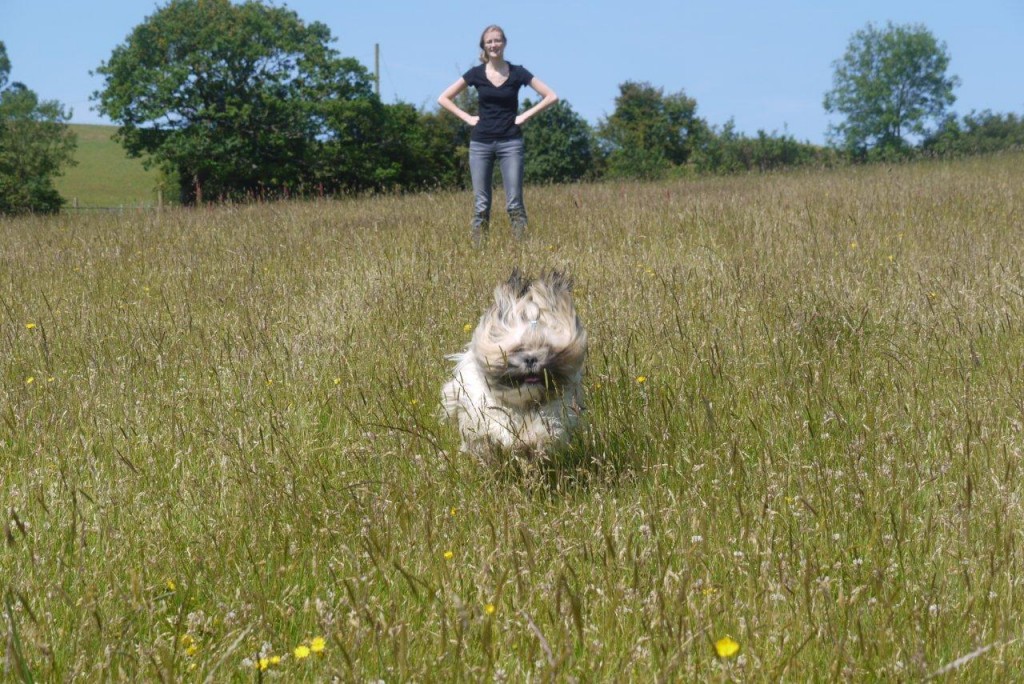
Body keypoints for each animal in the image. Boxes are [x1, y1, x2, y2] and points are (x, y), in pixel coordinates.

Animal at [438, 266, 585, 458]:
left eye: (546, 347)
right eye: (517, 348)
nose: (531, 359)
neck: (524, 402)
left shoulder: (559, 405)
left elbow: (545, 422)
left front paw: (533, 438)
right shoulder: (484, 404)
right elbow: (498, 420)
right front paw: (511, 438)